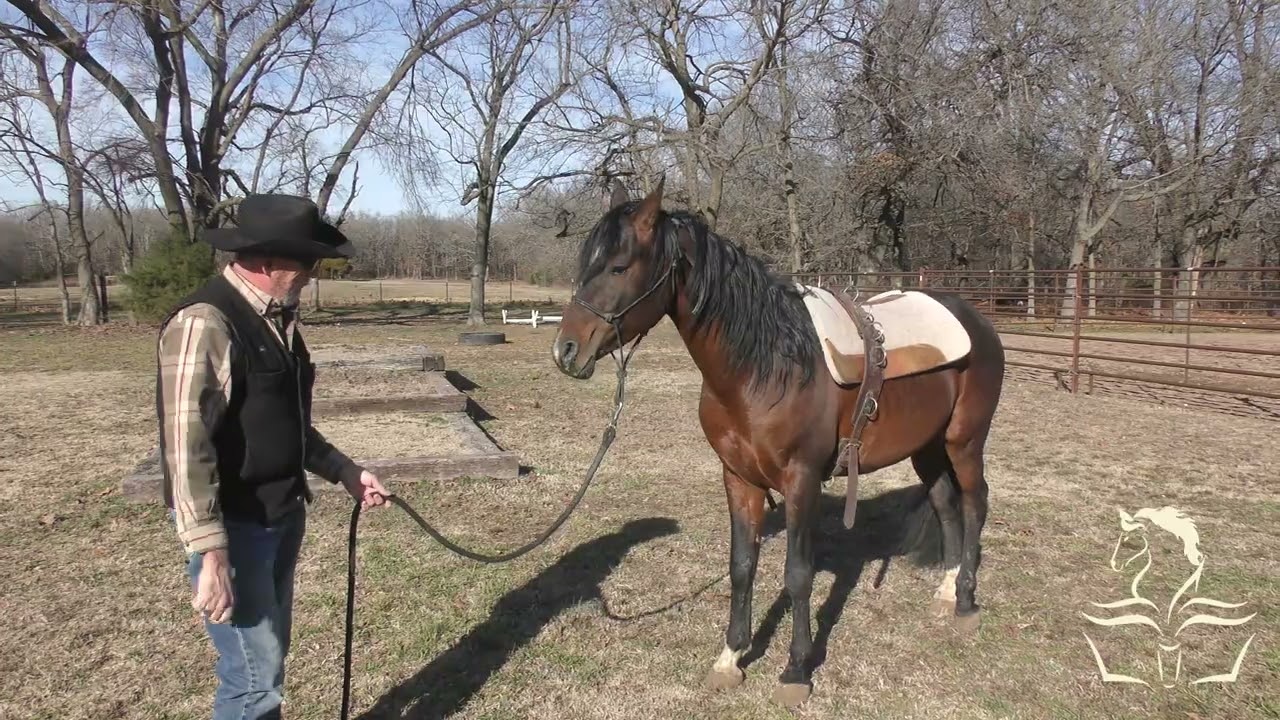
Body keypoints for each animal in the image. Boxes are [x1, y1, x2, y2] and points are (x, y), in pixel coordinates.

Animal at [550, 178, 1006, 707]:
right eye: (586, 263)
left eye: (620, 266)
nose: (565, 351)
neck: (764, 367)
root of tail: (974, 318)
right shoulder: (738, 477)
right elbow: (742, 565)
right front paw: (730, 658)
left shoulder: (801, 480)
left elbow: (797, 574)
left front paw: (796, 670)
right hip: (927, 449)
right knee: (946, 505)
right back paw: (947, 592)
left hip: (964, 441)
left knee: (975, 503)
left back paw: (967, 603)